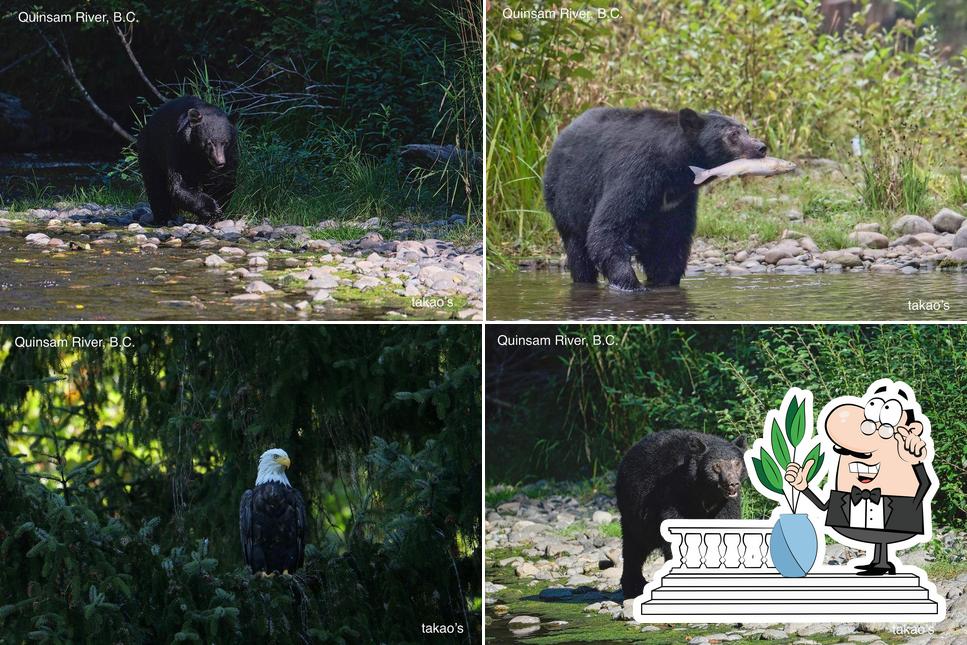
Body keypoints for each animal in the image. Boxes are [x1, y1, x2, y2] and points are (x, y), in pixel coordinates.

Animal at [136, 95, 238, 225]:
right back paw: (163, 217)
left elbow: (223, 182)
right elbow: (180, 185)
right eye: (209, 143)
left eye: (225, 142)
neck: (199, 155)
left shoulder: (230, 154)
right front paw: (212, 209)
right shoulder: (180, 149)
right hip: (150, 150)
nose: (219, 162)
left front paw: (215, 214)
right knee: (155, 184)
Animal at [544, 107, 772, 290]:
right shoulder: (635, 174)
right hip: (566, 198)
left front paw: (664, 281)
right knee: (578, 252)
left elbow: (669, 242)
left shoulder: (678, 201)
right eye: (732, 134)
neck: (674, 170)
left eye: (746, 130)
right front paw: (631, 285)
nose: (761, 147)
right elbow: (608, 229)